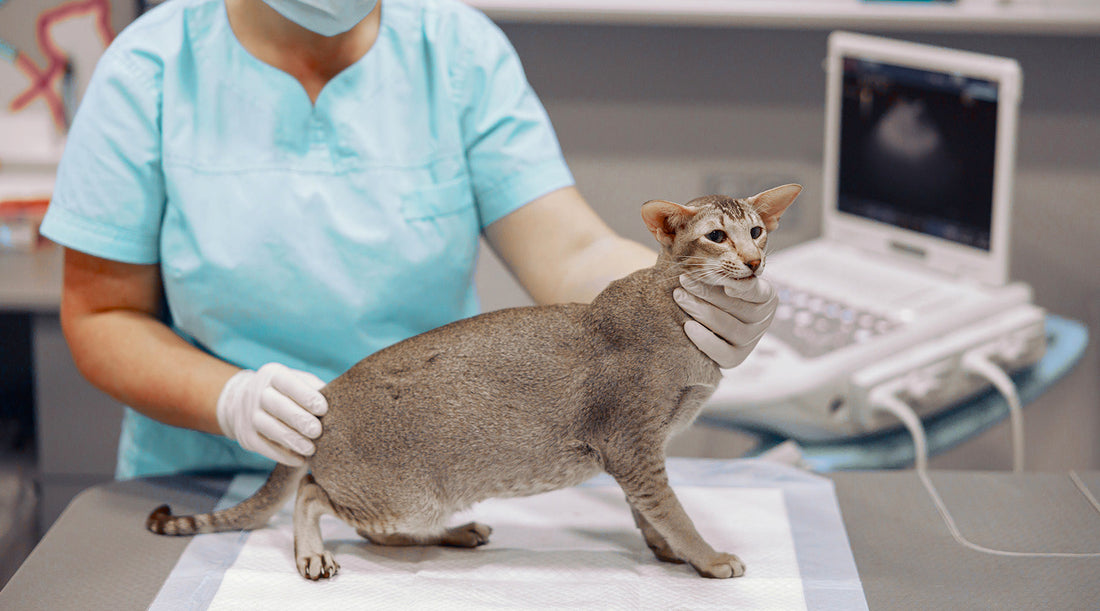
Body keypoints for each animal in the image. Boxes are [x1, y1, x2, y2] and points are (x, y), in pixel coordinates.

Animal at [146, 183, 800, 581]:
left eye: (757, 232)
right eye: (716, 236)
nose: (754, 263)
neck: (676, 313)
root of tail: (325, 393)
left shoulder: (638, 454)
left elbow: (649, 513)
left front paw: (666, 551)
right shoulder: (632, 443)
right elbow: (673, 510)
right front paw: (708, 558)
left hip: (405, 505)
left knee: (375, 531)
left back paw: (453, 534)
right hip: (403, 493)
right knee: (311, 493)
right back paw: (313, 554)